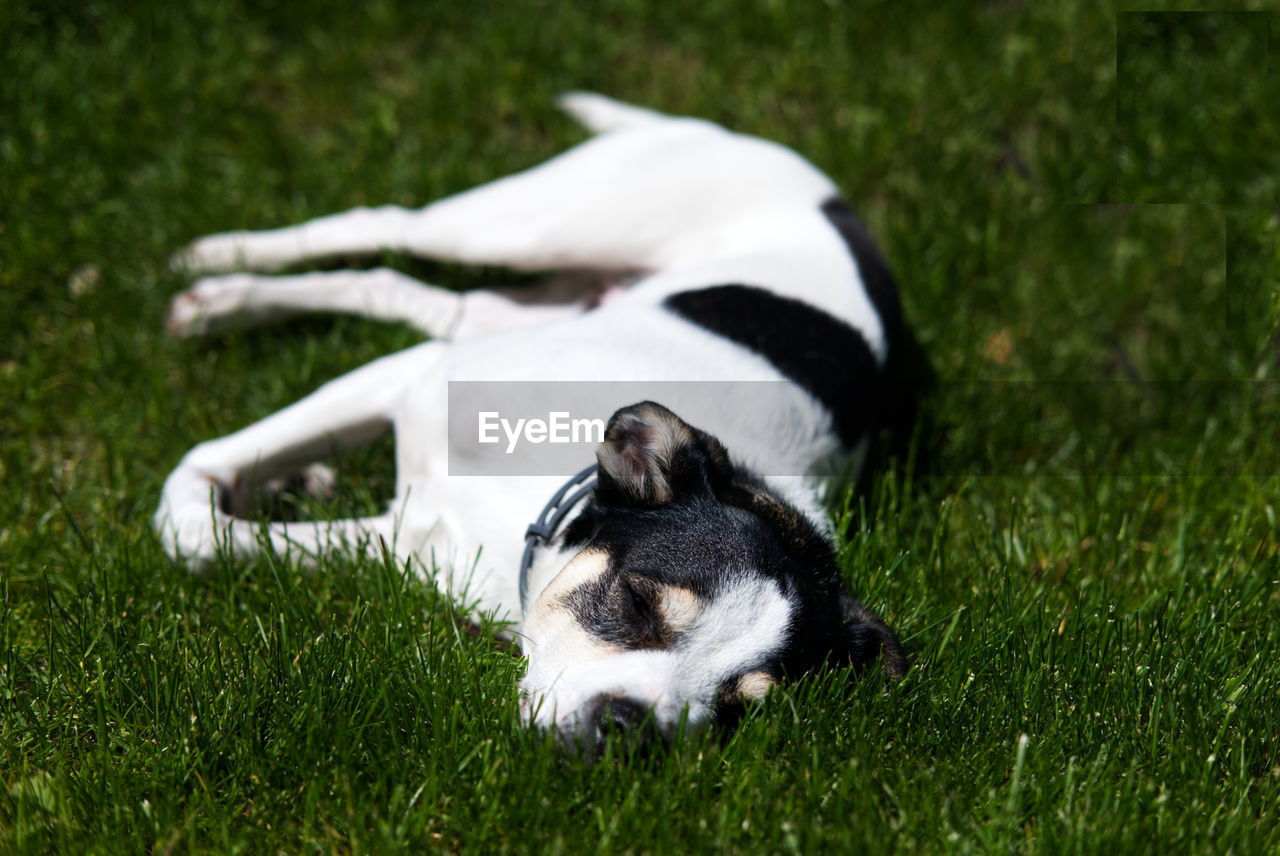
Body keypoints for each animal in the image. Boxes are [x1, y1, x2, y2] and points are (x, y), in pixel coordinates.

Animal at [157, 95, 911, 747]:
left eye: (742, 708)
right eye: (637, 604)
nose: (626, 730)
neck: (529, 505)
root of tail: (829, 193)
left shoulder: (403, 537)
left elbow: (213, 532)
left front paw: (266, 493)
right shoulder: (412, 381)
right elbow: (190, 497)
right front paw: (235, 485)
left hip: (524, 297)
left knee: (407, 290)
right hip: (525, 227)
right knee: (381, 224)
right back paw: (220, 275)